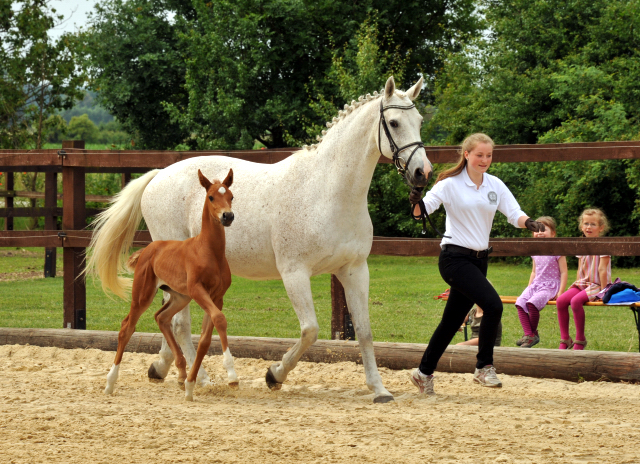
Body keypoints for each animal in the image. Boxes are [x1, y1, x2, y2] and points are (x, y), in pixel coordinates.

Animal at [104, 169, 236, 400]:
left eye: (231, 196)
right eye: (211, 197)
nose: (227, 216)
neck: (209, 251)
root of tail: (147, 249)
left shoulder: (216, 296)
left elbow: (205, 338)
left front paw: (191, 386)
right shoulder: (197, 290)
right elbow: (219, 319)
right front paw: (231, 375)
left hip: (179, 297)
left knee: (162, 317)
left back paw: (182, 374)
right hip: (144, 294)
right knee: (127, 327)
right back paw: (110, 382)